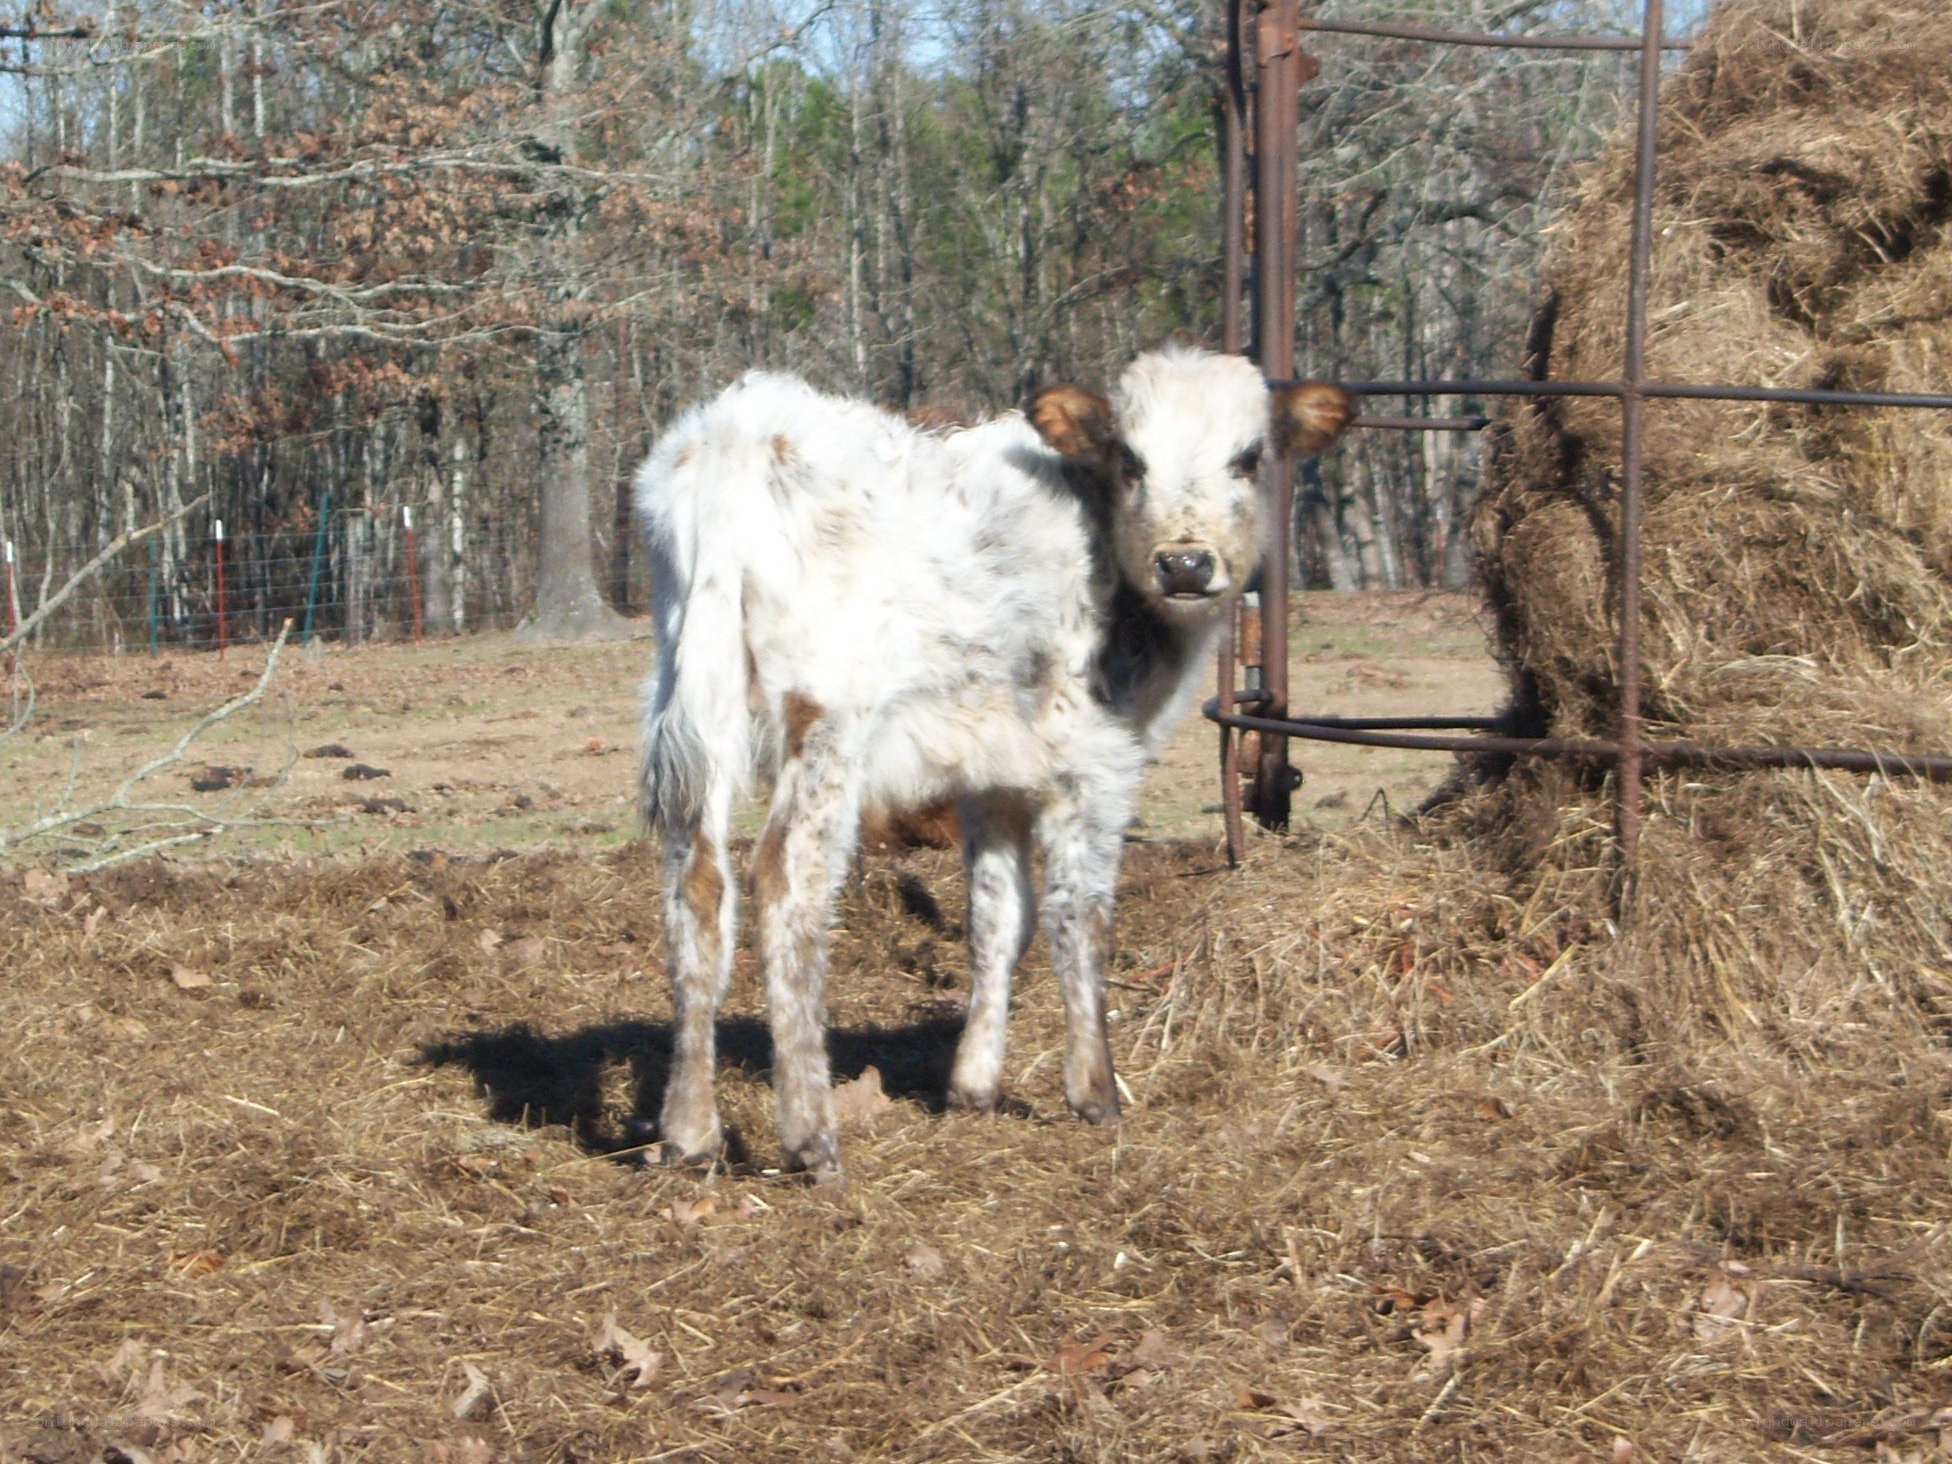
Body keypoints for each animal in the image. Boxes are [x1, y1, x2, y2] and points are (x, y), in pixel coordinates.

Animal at [637, 345, 1352, 1179]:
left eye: (1248, 457)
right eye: (1130, 459)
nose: (1184, 563)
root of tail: (734, 437)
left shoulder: (991, 773)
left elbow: (999, 916)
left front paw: (973, 1084)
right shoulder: (1096, 764)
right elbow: (1080, 917)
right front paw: (1096, 1092)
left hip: (695, 699)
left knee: (697, 890)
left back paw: (690, 1133)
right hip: (827, 722)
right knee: (786, 886)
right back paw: (811, 1135)